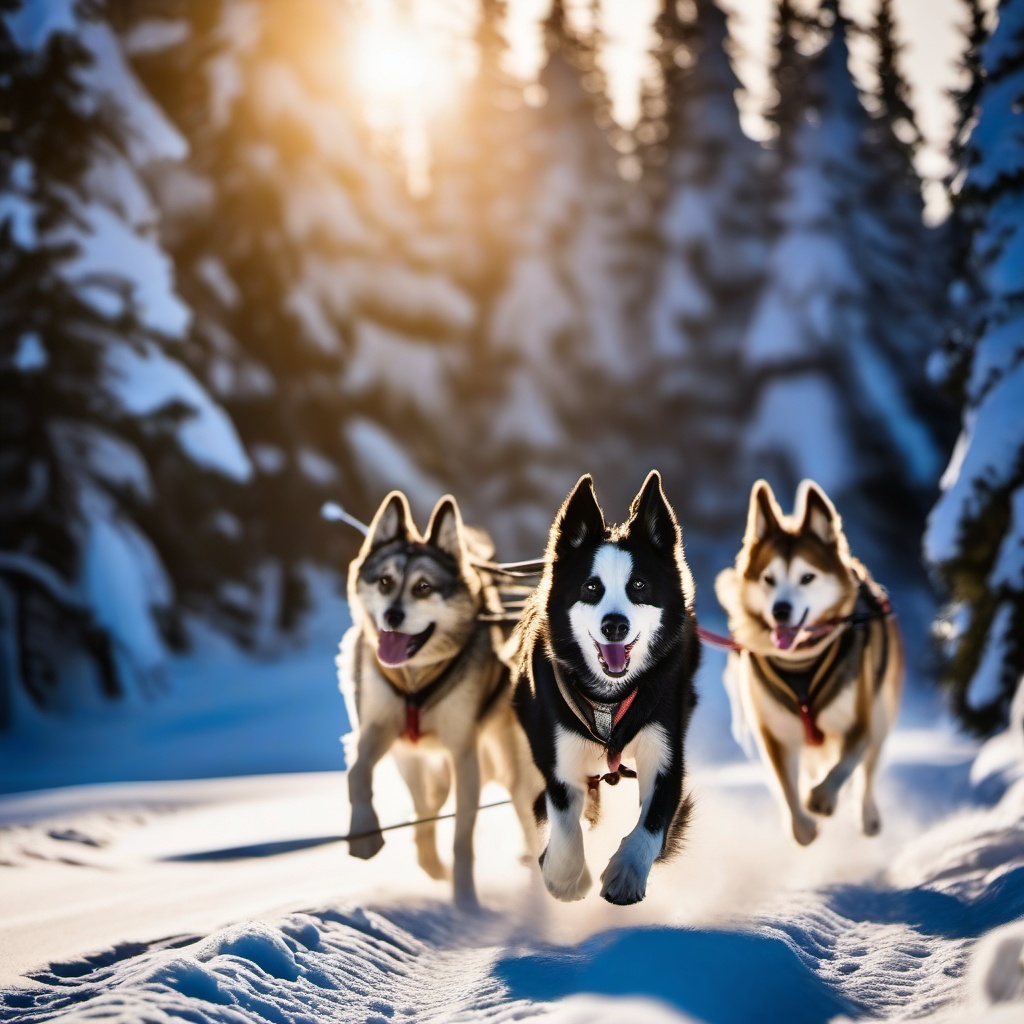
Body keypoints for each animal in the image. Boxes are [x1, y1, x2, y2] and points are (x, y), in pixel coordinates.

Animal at [337, 491, 544, 909]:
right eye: (385, 581)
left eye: (423, 587)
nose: (392, 615)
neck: (415, 679)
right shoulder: (381, 731)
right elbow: (358, 774)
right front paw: (365, 834)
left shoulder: (463, 753)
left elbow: (462, 838)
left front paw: (466, 901)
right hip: (416, 764)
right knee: (426, 807)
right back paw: (431, 863)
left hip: (512, 769)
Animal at [507, 471, 700, 905]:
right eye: (591, 588)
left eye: (639, 586)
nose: (615, 625)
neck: (608, 698)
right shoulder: (558, 752)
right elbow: (564, 818)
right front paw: (564, 876)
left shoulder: (665, 748)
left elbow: (653, 824)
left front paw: (626, 872)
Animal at [712, 479, 905, 847]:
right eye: (768, 579)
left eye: (807, 578)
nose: (780, 610)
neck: (801, 662)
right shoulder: (774, 734)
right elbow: (787, 787)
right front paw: (804, 825)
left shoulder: (859, 721)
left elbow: (846, 764)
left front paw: (822, 799)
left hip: (881, 713)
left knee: (867, 771)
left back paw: (867, 815)